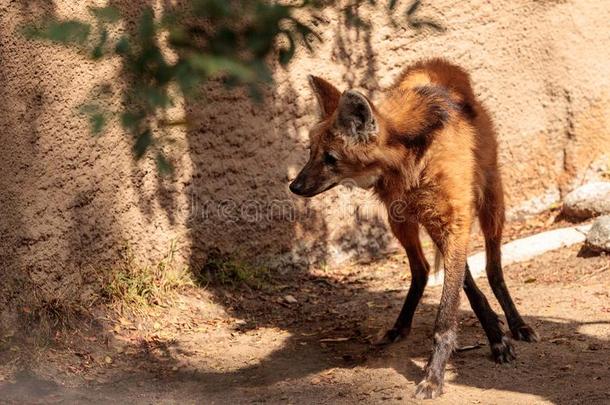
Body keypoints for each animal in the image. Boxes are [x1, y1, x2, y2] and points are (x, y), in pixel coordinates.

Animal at [288, 58, 536, 400]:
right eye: (311, 151)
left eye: (331, 158)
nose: (295, 186)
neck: (408, 159)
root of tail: (436, 62)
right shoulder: (433, 220)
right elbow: (459, 284)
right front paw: (491, 336)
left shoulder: (453, 219)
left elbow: (448, 311)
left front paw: (434, 376)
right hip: (401, 221)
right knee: (422, 269)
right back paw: (402, 326)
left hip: (490, 203)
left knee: (493, 268)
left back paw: (516, 324)